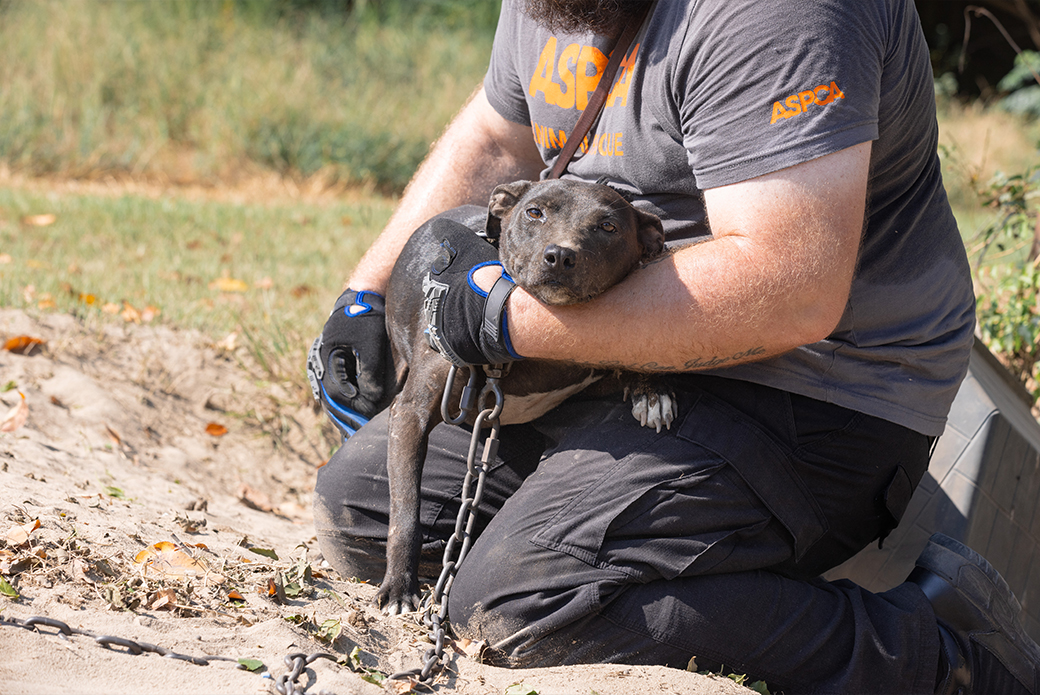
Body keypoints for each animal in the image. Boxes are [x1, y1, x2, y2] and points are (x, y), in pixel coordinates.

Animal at [374, 177, 673, 611]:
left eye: (608, 227)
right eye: (535, 212)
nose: (560, 255)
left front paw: (653, 391)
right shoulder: (411, 413)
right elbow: (406, 511)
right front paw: (399, 585)